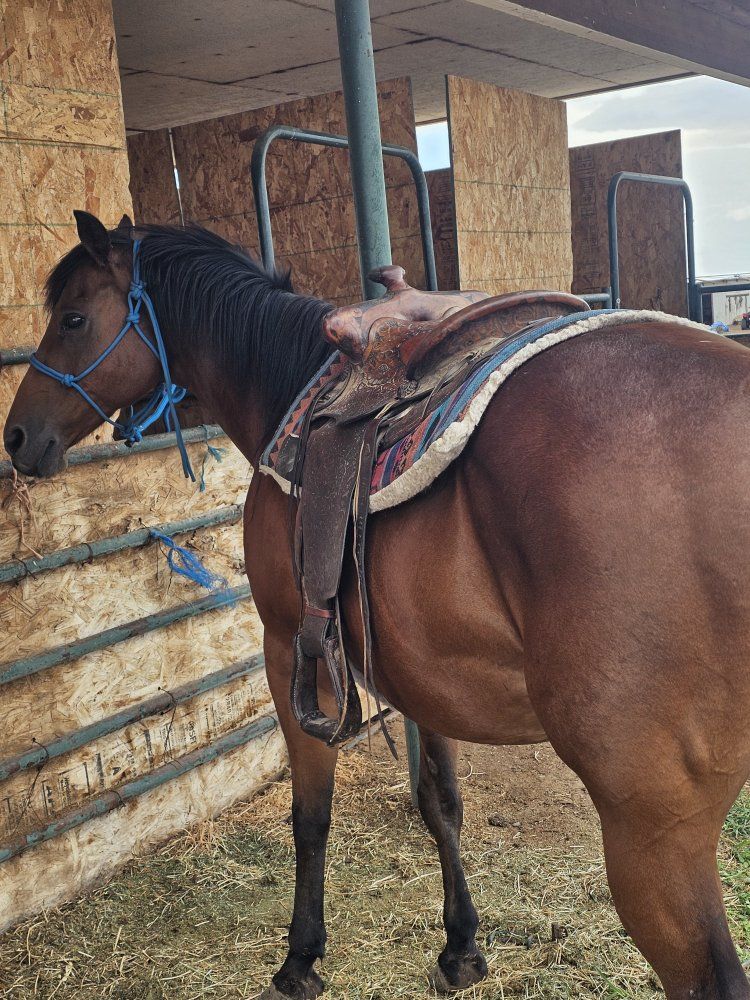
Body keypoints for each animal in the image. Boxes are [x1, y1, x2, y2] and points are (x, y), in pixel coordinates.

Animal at [6, 209, 750, 1000]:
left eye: (74, 318)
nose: (16, 435)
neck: (285, 387)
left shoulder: (290, 650)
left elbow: (311, 816)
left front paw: (301, 958)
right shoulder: (424, 672)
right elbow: (441, 802)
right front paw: (461, 948)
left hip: (651, 831)